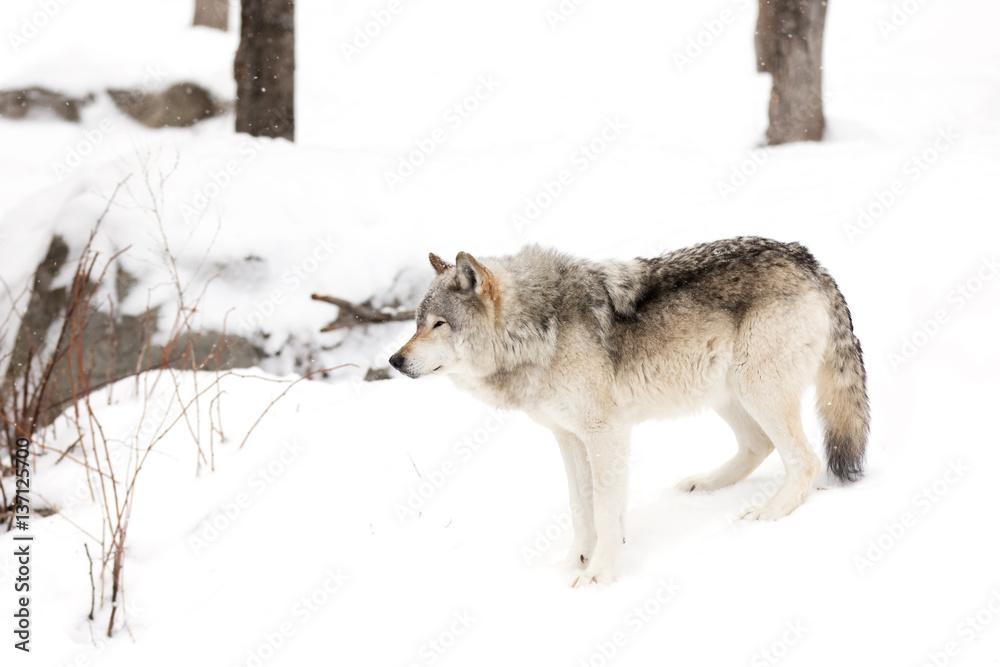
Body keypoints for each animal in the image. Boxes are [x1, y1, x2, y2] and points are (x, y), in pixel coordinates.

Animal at [389, 237, 869, 587]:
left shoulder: (605, 432)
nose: (394, 360)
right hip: (723, 393)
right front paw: (576, 561)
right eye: (416, 324)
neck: (540, 329)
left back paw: (768, 514)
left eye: (439, 325)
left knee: (804, 460)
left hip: (757, 390)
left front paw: (599, 574)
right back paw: (704, 484)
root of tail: (806, 258)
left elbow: (603, 508)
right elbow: (581, 507)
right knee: (759, 446)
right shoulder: (568, 436)